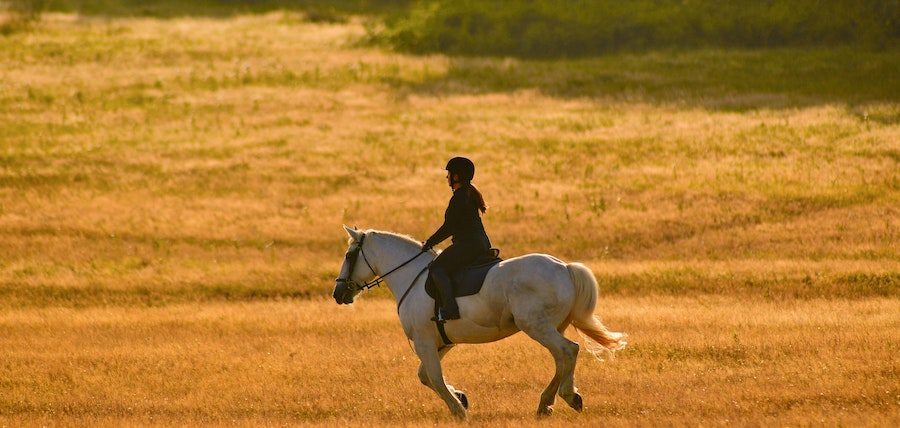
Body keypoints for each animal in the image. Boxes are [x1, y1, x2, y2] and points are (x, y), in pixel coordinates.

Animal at [332, 225, 626, 420]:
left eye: (348, 256)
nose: (338, 293)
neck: (409, 275)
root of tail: (564, 267)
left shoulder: (425, 342)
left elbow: (434, 378)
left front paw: (458, 410)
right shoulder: (439, 343)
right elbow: (425, 376)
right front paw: (461, 397)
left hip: (537, 327)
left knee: (568, 350)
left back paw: (568, 396)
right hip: (551, 327)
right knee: (561, 358)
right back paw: (546, 404)